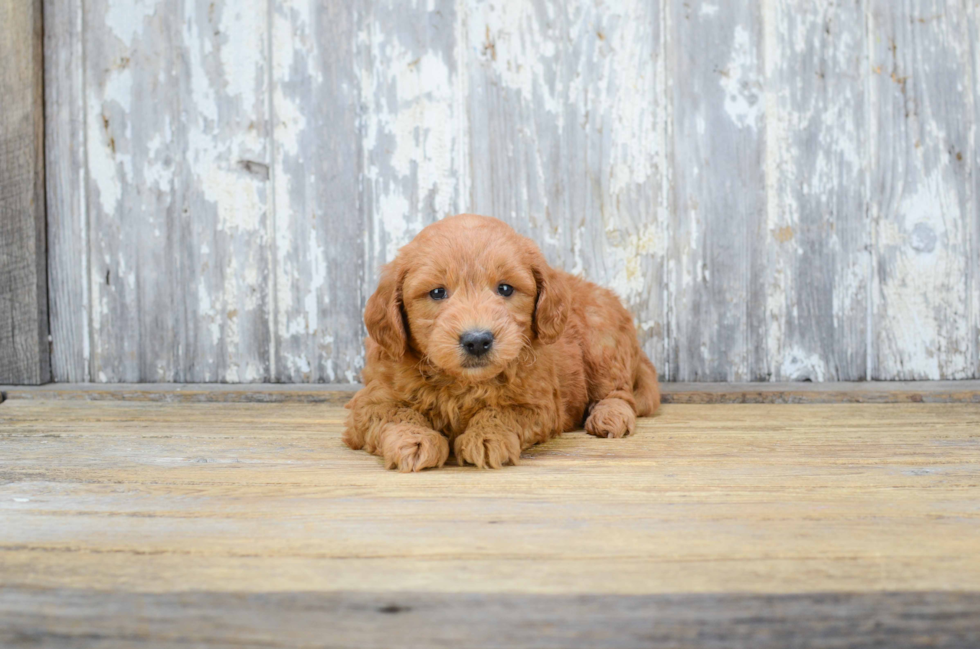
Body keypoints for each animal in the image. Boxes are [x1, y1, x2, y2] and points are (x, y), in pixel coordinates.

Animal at [342, 214, 660, 470]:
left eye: (505, 289)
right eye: (437, 292)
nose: (477, 340)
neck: (462, 384)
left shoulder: (539, 404)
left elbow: (501, 412)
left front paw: (486, 437)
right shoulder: (370, 401)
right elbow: (397, 413)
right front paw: (415, 441)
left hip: (601, 341)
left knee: (619, 392)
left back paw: (610, 416)